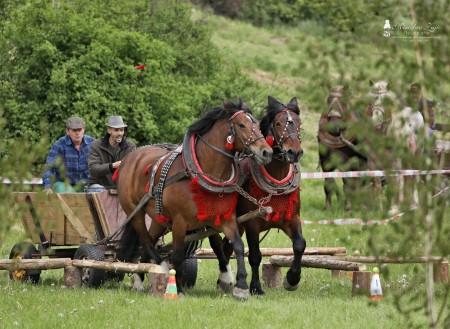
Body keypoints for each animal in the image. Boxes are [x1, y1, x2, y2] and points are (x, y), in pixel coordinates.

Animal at [115, 98, 270, 300]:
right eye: (241, 125)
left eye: (258, 125)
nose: (267, 152)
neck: (201, 172)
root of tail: (130, 158)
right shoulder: (180, 222)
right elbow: (178, 255)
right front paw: (178, 288)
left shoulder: (225, 218)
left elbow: (236, 245)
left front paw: (240, 285)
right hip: (134, 212)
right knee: (147, 241)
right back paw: (161, 269)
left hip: (159, 218)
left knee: (149, 242)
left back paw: (139, 279)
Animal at [222, 95, 306, 294]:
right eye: (278, 123)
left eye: (298, 122)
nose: (294, 152)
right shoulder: (252, 224)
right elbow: (255, 256)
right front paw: (255, 287)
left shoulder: (292, 218)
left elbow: (300, 244)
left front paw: (292, 279)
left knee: (226, 246)